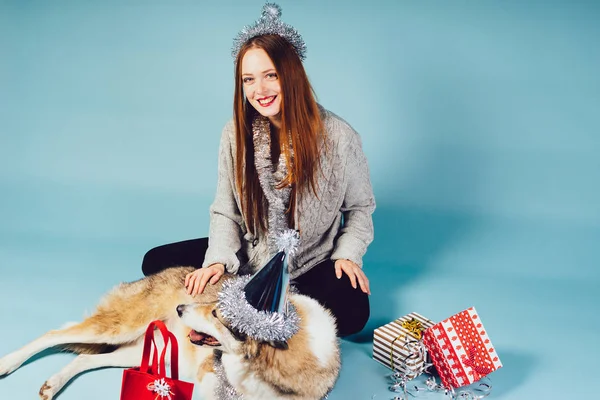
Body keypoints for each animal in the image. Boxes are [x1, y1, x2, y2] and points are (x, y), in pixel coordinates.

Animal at [0, 266, 340, 400]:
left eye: (217, 313)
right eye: (216, 302)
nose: (180, 308)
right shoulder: (209, 378)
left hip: (139, 351)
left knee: (85, 360)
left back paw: (53, 384)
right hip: (120, 326)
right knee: (54, 333)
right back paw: (8, 363)